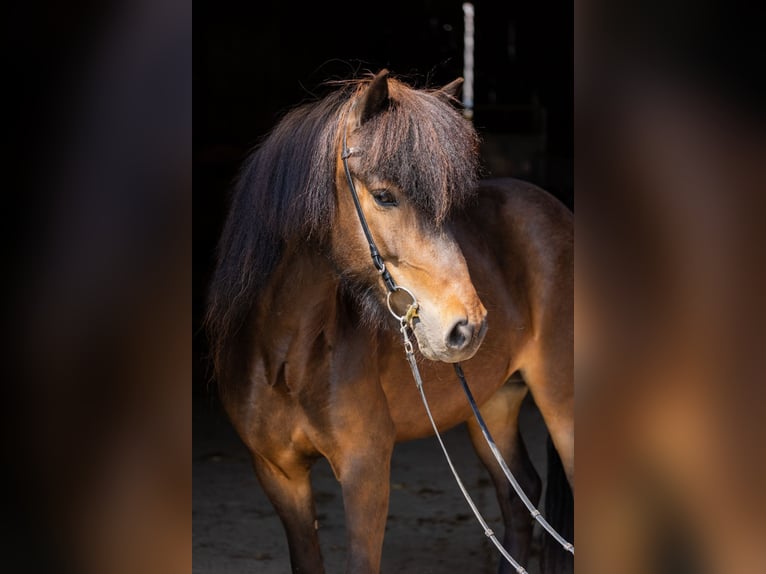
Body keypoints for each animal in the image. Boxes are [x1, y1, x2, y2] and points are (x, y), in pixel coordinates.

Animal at [204, 69, 573, 573]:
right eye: (384, 196)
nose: (469, 327)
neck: (286, 356)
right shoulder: (280, 475)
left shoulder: (366, 471)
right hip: (491, 407)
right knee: (520, 499)